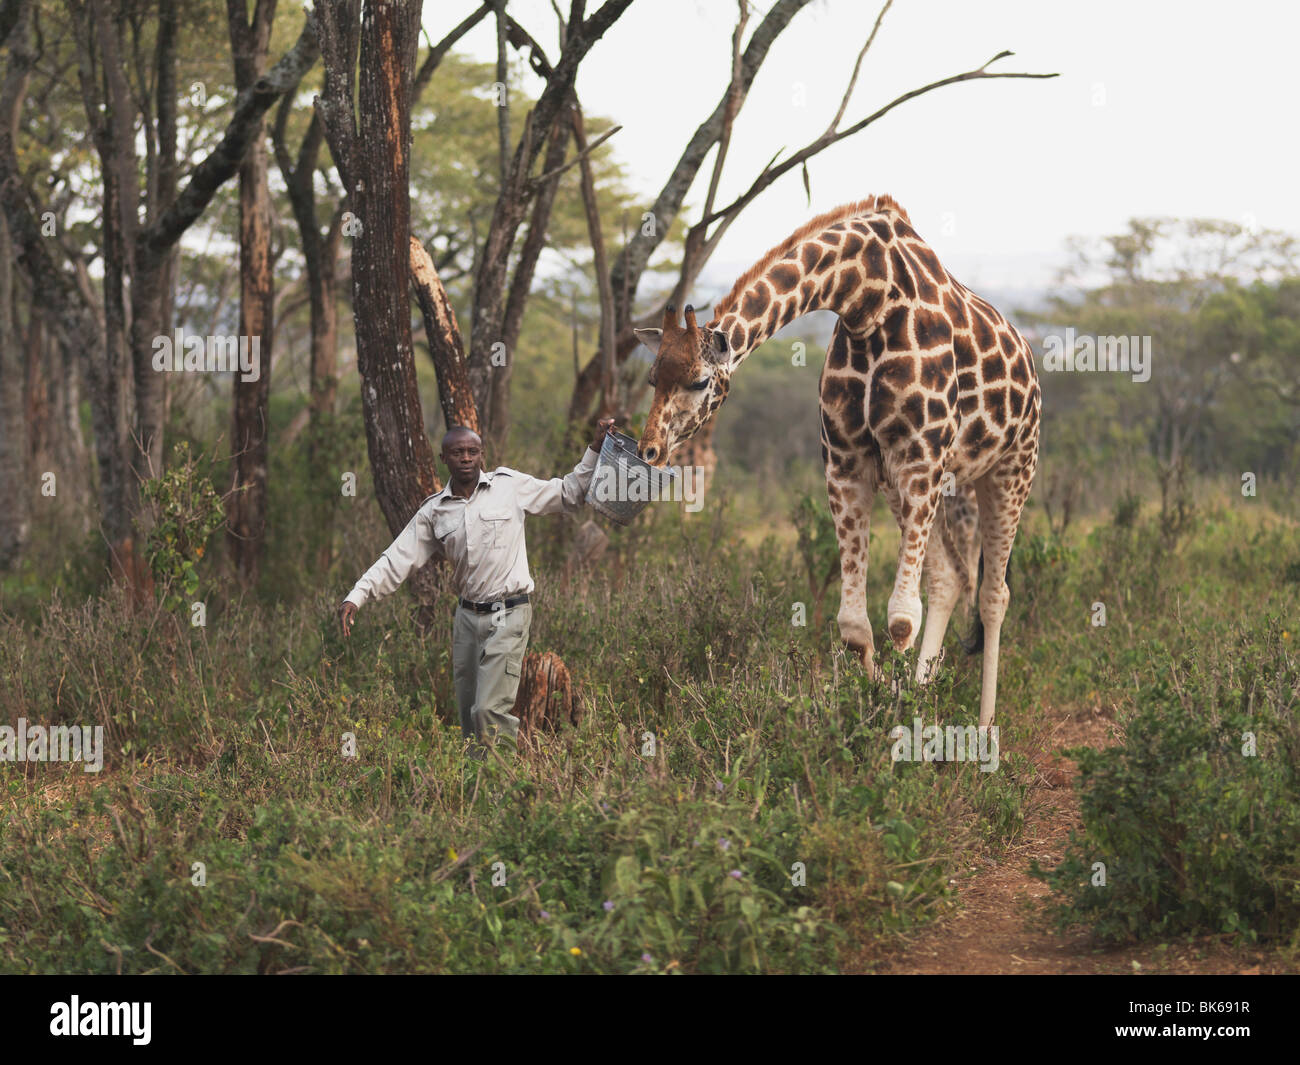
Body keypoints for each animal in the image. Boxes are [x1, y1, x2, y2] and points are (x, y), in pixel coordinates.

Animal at [634, 195, 1040, 728]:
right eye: (652, 378)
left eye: (700, 380)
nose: (650, 449)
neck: (865, 299)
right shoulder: (849, 464)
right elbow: (853, 625)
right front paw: (884, 703)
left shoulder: (918, 458)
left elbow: (901, 619)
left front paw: (897, 728)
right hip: (927, 483)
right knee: (950, 577)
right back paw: (926, 696)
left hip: (1011, 467)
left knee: (994, 595)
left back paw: (985, 728)